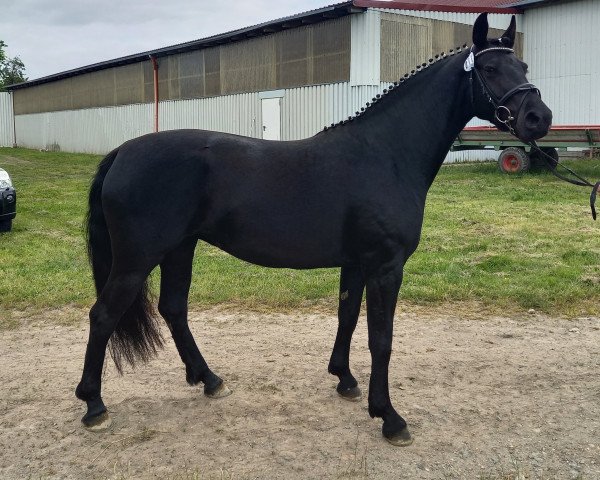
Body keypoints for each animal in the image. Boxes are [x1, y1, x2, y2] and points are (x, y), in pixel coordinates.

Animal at [77, 12, 552, 446]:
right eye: (490, 69)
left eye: (524, 66)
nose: (538, 118)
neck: (385, 154)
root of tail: (122, 152)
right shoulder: (386, 266)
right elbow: (381, 338)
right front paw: (389, 417)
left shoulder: (357, 263)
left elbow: (347, 317)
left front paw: (345, 380)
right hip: (137, 258)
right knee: (103, 316)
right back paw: (94, 406)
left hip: (180, 248)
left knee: (174, 309)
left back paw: (209, 379)